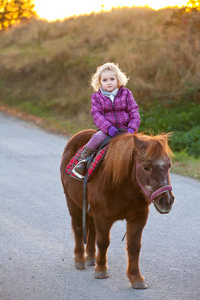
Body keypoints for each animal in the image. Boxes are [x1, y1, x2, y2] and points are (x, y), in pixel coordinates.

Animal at [60, 130, 174, 290]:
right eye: (146, 167)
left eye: (168, 166)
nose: (166, 200)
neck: (122, 186)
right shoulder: (103, 218)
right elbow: (103, 242)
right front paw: (101, 270)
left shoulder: (138, 217)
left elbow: (134, 246)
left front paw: (136, 278)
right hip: (73, 203)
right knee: (78, 229)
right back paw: (80, 259)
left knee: (91, 231)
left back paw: (91, 257)